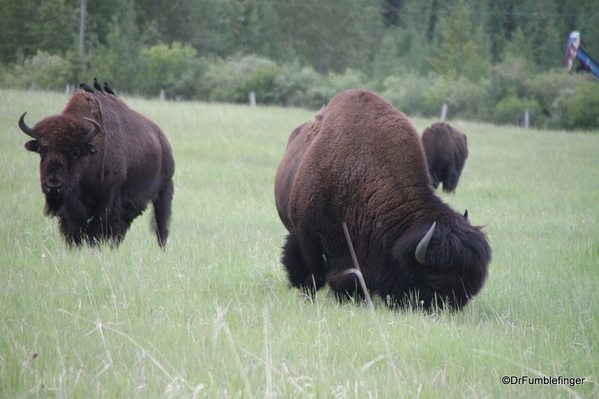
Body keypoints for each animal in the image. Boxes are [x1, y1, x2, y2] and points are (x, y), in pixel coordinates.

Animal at [18, 90, 173, 248]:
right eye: (42, 151)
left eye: (75, 153)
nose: (53, 186)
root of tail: (162, 139)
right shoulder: (70, 207)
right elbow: (74, 230)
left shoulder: (106, 201)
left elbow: (95, 231)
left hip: (164, 190)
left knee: (161, 226)